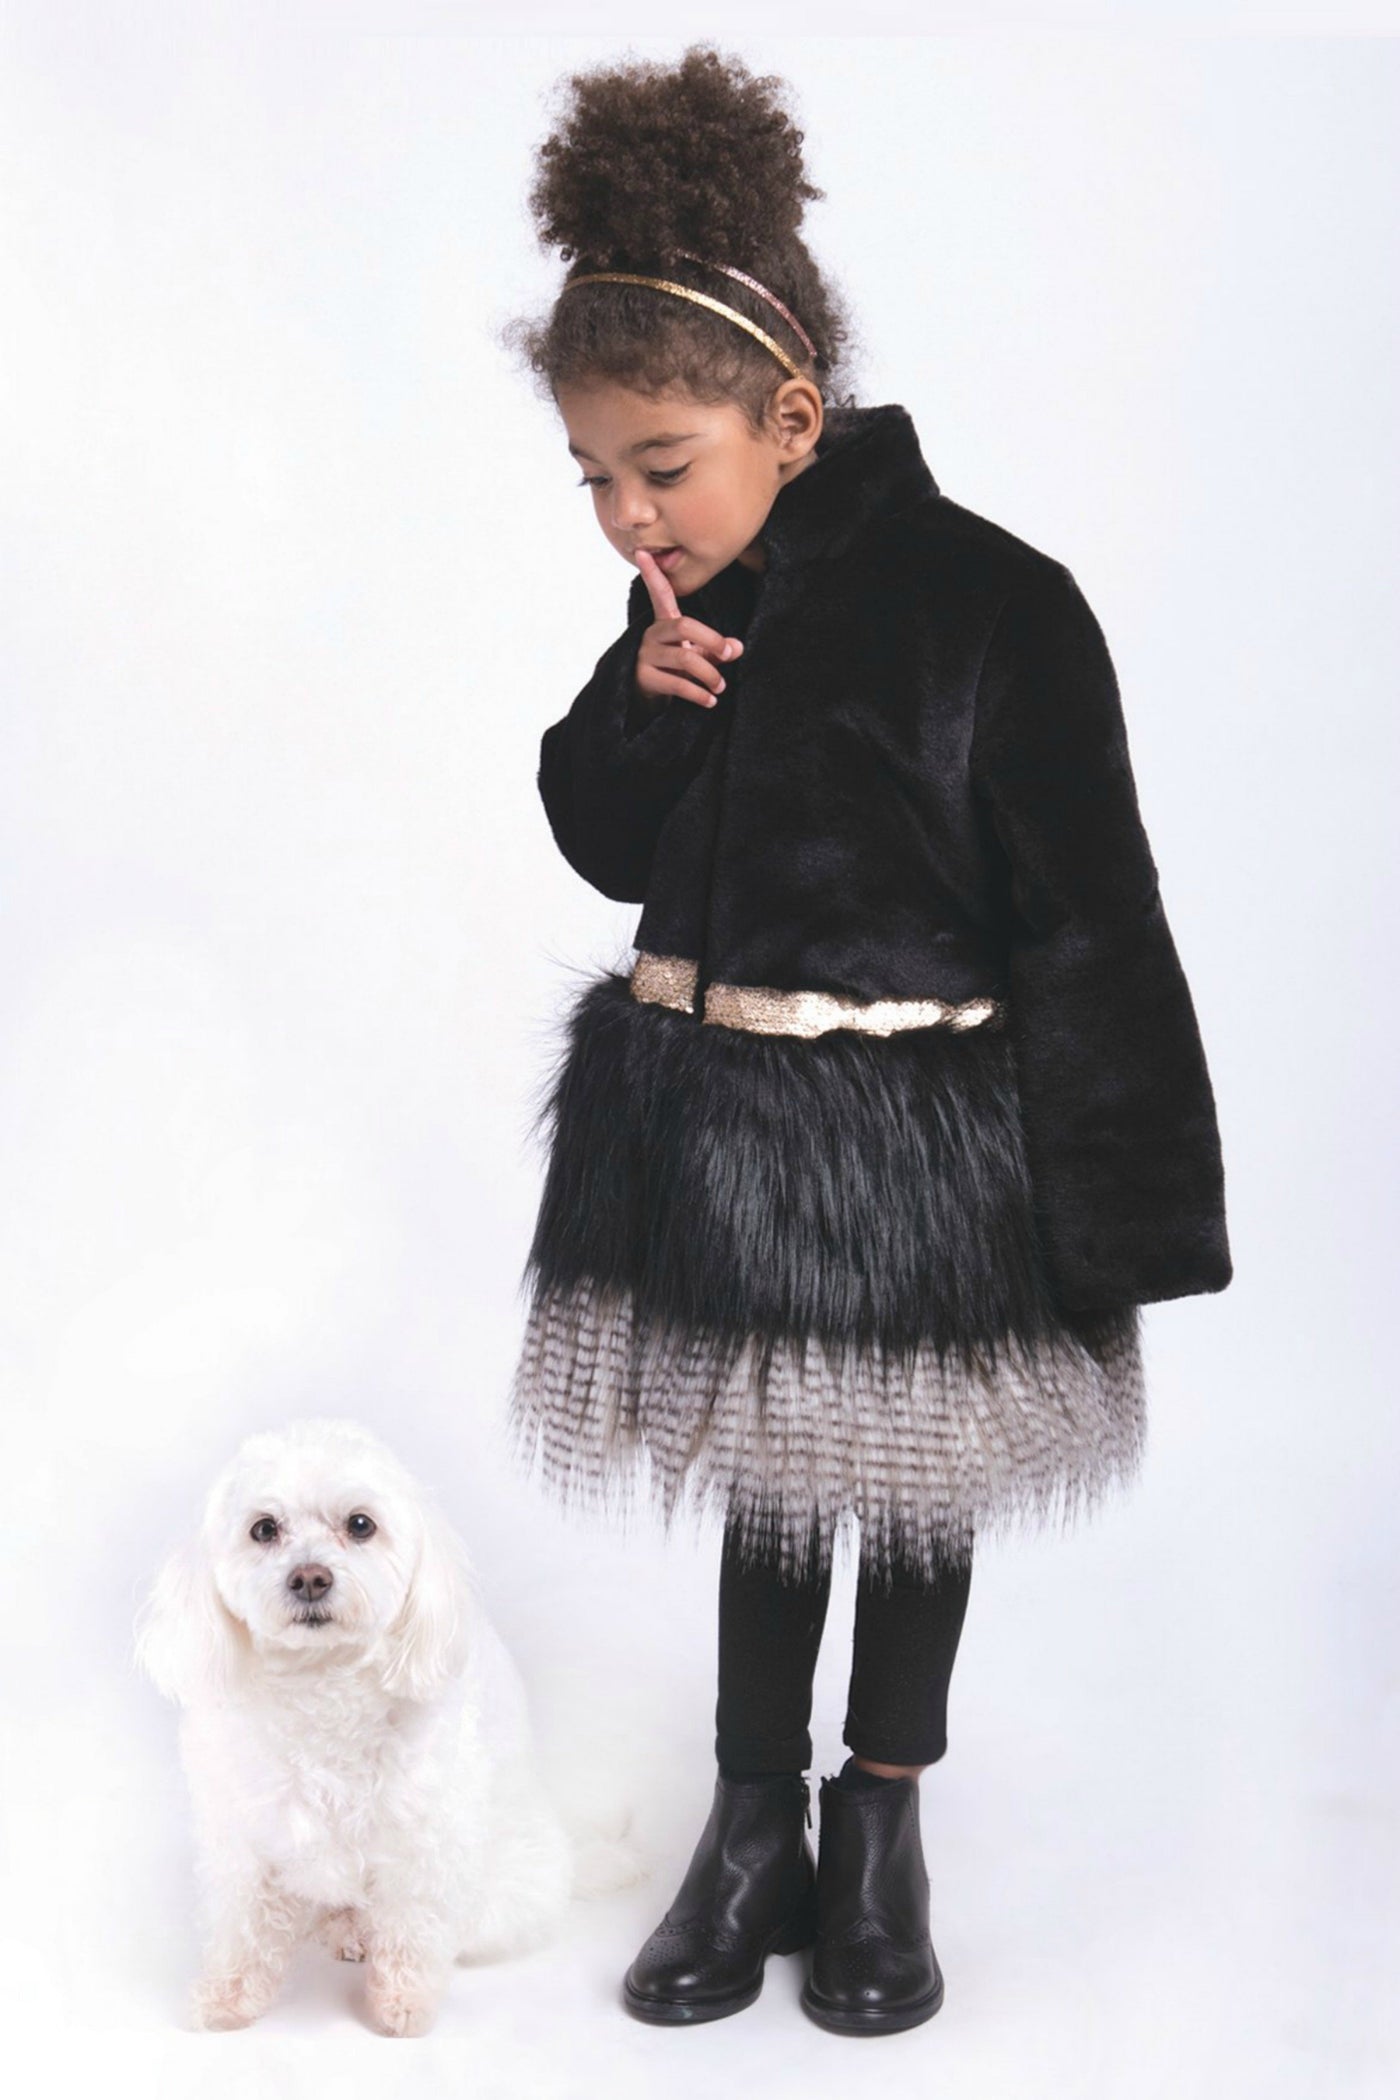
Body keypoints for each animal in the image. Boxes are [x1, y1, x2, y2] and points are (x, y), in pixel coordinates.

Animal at [135, 1417, 644, 2035]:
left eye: (361, 1525)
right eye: (264, 1529)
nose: (310, 1578)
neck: (321, 1684)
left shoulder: (423, 1838)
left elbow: (412, 1929)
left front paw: (403, 2001)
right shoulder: (246, 1834)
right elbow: (244, 1927)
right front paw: (229, 1996)